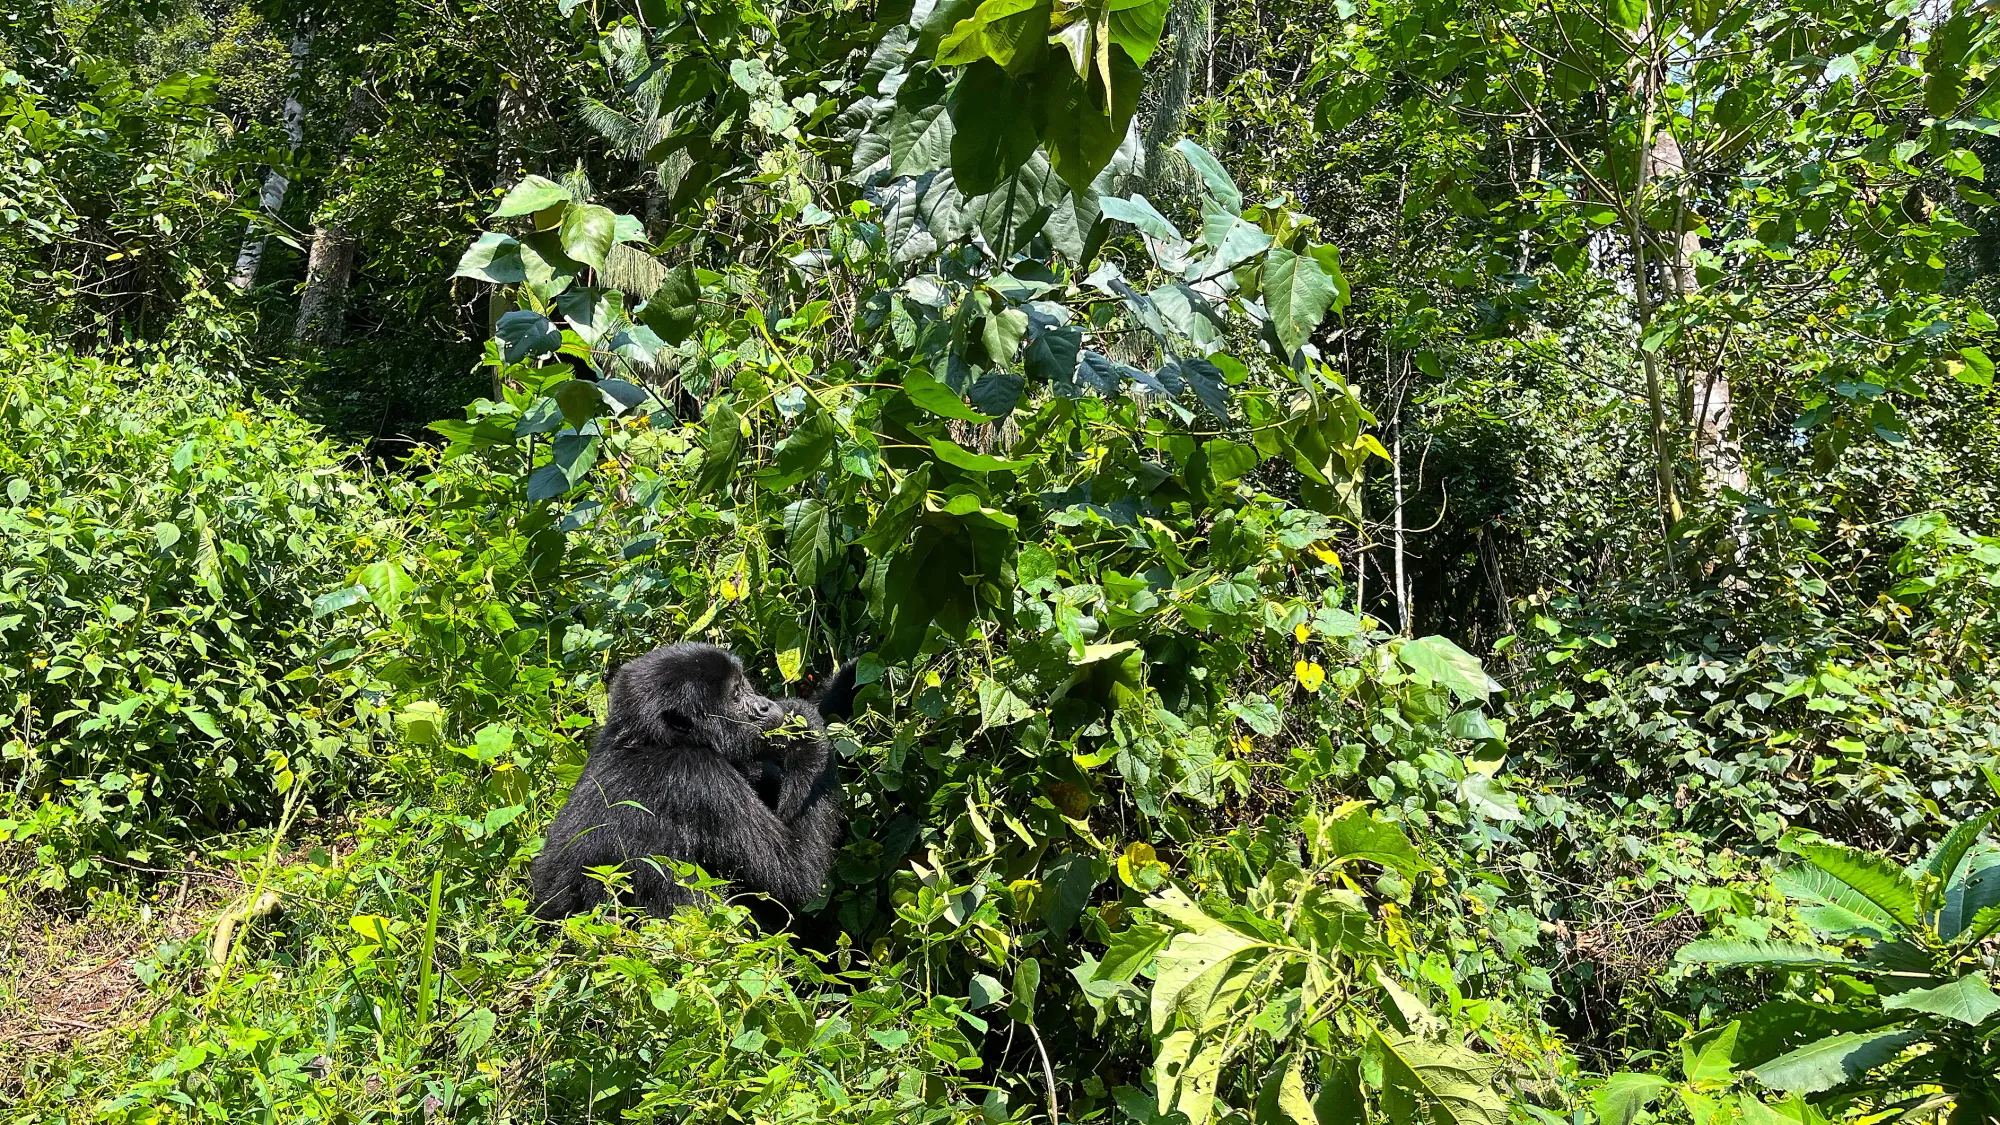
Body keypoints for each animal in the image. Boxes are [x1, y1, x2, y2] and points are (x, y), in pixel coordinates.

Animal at [528, 640, 856, 920]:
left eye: (744, 685)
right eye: (736, 696)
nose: (765, 706)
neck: (655, 740)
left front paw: (847, 681)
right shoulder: (701, 778)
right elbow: (794, 874)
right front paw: (803, 726)